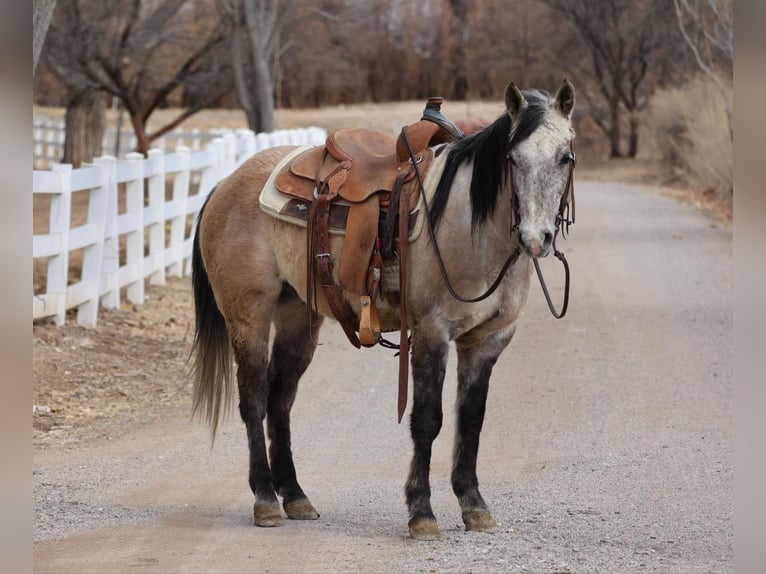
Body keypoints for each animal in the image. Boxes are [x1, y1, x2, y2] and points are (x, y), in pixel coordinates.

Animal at [189, 79, 576, 540]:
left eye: (566, 157)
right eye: (513, 158)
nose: (536, 238)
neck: (469, 227)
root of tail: (226, 183)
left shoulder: (487, 341)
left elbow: (471, 418)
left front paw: (474, 505)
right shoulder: (431, 333)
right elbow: (428, 419)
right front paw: (422, 512)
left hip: (297, 318)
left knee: (280, 400)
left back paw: (296, 497)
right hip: (249, 316)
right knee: (253, 399)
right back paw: (265, 499)